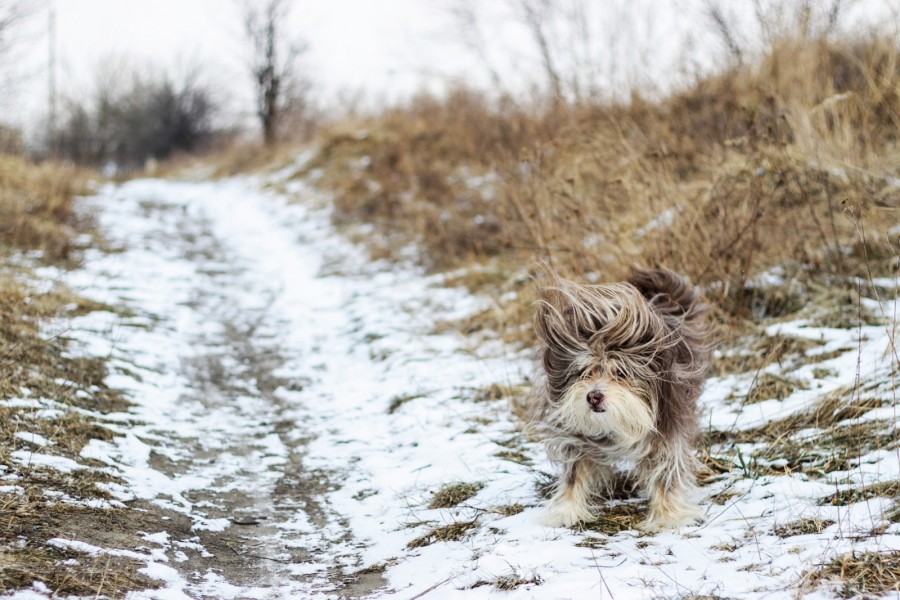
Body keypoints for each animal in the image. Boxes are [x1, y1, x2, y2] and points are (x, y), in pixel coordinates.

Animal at [536, 268, 712, 528]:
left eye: (620, 372)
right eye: (584, 371)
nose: (594, 397)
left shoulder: (667, 427)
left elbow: (666, 472)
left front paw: (668, 515)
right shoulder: (574, 431)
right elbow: (574, 472)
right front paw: (566, 510)